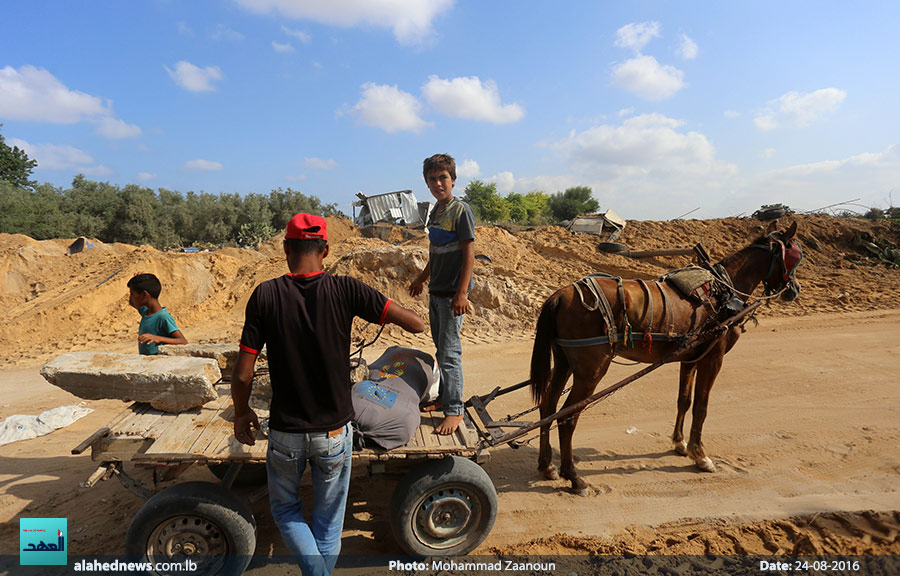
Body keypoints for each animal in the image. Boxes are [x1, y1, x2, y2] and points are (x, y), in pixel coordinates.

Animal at [528, 218, 800, 492]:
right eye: (795, 256)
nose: (794, 289)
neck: (724, 291)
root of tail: (559, 295)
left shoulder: (691, 358)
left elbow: (684, 400)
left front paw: (680, 443)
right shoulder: (714, 358)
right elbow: (701, 406)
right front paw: (700, 455)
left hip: (564, 363)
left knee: (548, 406)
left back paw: (547, 466)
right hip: (591, 370)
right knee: (568, 417)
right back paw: (574, 477)